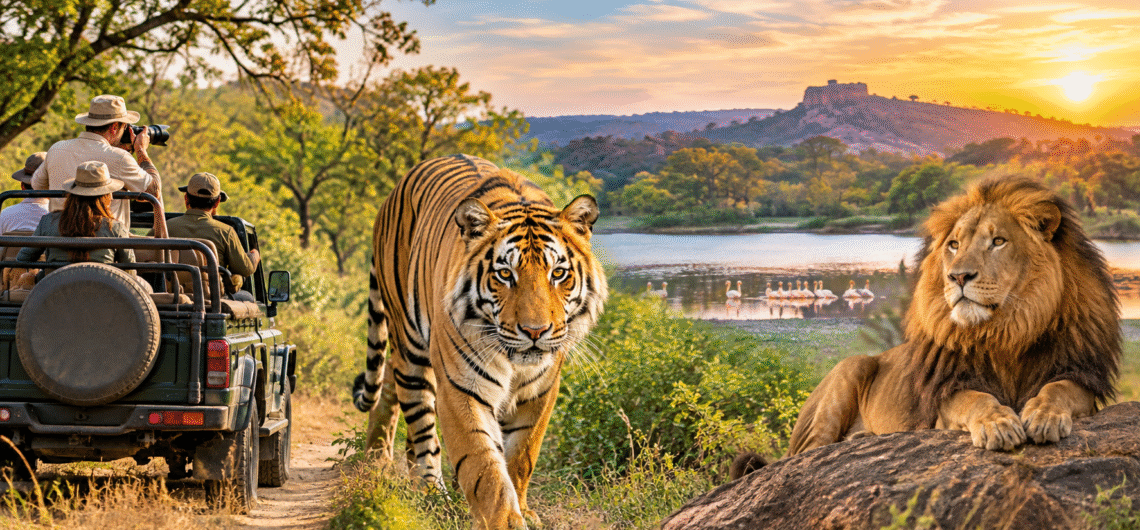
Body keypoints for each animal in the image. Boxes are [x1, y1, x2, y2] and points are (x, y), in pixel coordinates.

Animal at [351, 154, 608, 529]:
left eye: (558, 273)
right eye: (505, 274)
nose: (535, 331)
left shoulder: (541, 391)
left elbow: (521, 456)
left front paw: (524, 508)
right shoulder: (462, 388)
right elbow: (483, 466)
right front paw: (504, 519)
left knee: (389, 392)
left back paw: (377, 459)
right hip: (410, 347)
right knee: (421, 428)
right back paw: (428, 491)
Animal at [733, 177, 1120, 478]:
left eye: (998, 241)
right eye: (954, 244)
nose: (958, 277)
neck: (1006, 330)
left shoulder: (1080, 374)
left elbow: (1060, 389)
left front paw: (1043, 415)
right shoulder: (946, 395)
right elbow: (976, 399)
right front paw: (998, 424)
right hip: (849, 372)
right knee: (806, 456)